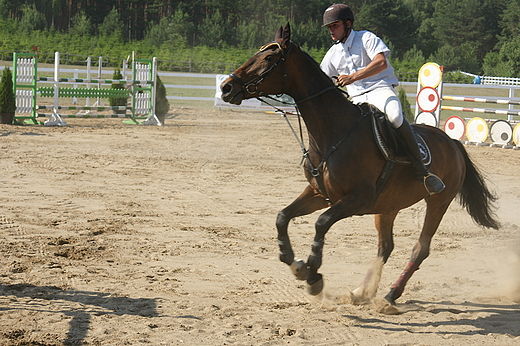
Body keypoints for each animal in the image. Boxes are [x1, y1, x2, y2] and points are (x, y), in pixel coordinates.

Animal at [219, 23, 500, 306]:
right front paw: (295, 264)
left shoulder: (357, 199)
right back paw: (361, 292)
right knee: (385, 246)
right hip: (388, 206)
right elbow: (282, 217)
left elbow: (321, 223)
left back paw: (390, 295)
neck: (332, 132)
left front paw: (313, 275)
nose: (226, 88)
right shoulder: (320, 194)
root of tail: (453, 142)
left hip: (438, 201)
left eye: (268, 58)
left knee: (420, 248)